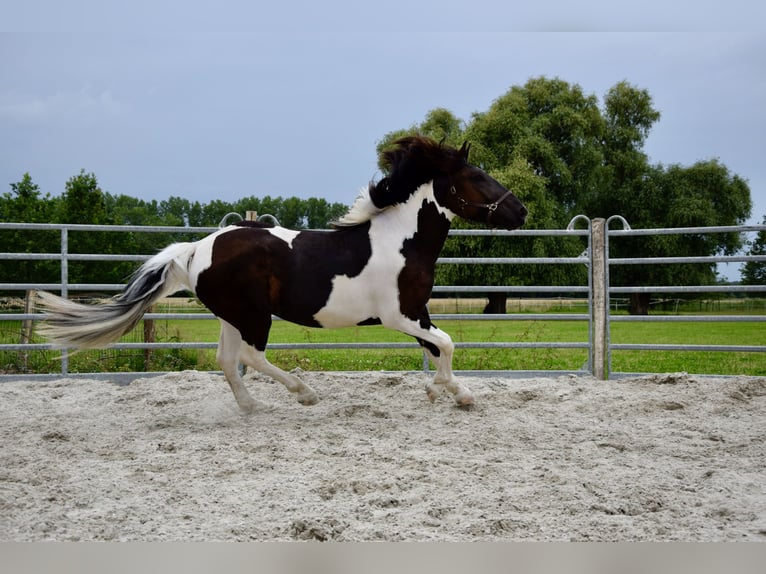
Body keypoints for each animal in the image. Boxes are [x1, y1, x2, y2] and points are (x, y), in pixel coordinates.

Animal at [36, 137, 528, 412]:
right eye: (477, 177)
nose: (521, 211)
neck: (401, 241)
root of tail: (196, 250)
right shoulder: (400, 315)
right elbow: (446, 343)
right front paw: (447, 392)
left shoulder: (417, 312)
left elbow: (439, 347)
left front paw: (449, 393)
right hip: (254, 316)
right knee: (250, 358)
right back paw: (304, 393)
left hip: (232, 316)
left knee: (227, 360)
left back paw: (252, 407)